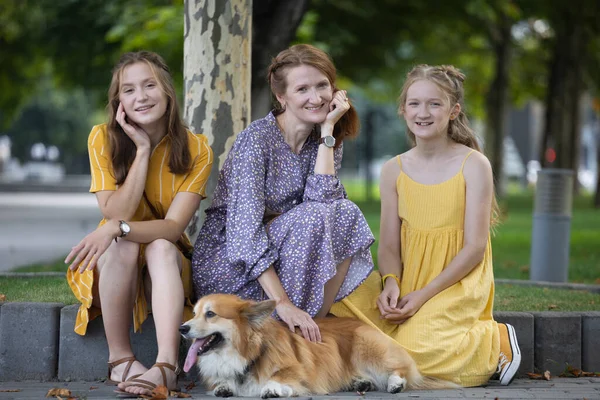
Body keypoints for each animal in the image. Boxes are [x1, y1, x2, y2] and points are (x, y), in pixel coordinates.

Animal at [179, 294, 460, 396]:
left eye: (210, 314)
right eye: (194, 313)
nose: (182, 329)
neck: (248, 352)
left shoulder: (297, 372)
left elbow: (278, 378)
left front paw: (271, 388)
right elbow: (221, 384)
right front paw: (224, 387)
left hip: (369, 347)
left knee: (401, 370)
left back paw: (394, 384)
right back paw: (361, 383)